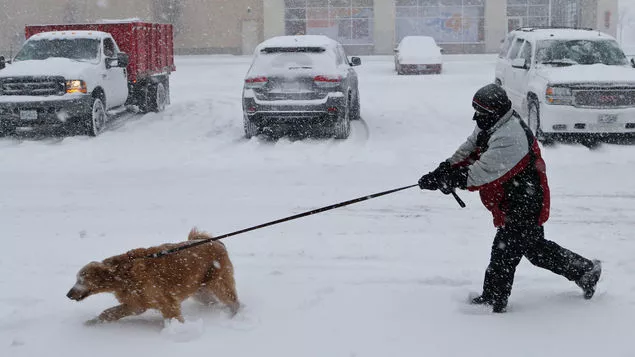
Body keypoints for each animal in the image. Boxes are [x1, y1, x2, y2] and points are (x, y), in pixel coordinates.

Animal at [66, 227, 238, 324]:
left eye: (81, 279)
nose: (68, 294)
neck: (122, 274)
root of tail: (217, 242)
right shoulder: (135, 304)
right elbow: (108, 313)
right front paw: (93, 322)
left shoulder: (166, 302)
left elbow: (174, 317)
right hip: (201, 291)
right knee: (212, 302)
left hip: (219, 284)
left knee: (233, 301)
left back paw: (234, 315)